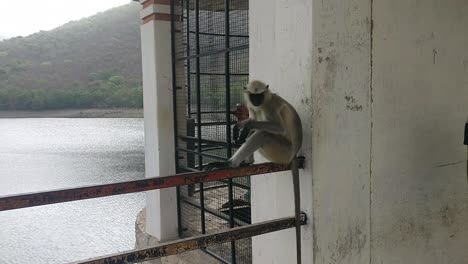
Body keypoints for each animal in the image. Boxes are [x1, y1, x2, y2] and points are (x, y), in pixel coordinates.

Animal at [206, 80, 304, 264]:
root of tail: (294, 153)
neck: (263, 103)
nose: (257, 101)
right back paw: (246, 162)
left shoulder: (270, 106)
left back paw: (230, 163)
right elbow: (251, 120)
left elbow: (277, 127)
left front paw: (243, 125)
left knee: (262, 133)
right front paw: (239, 127)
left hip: (282, 151)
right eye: (253, 96)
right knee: (257, 129)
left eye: (260, 95)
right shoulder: (253, 108)